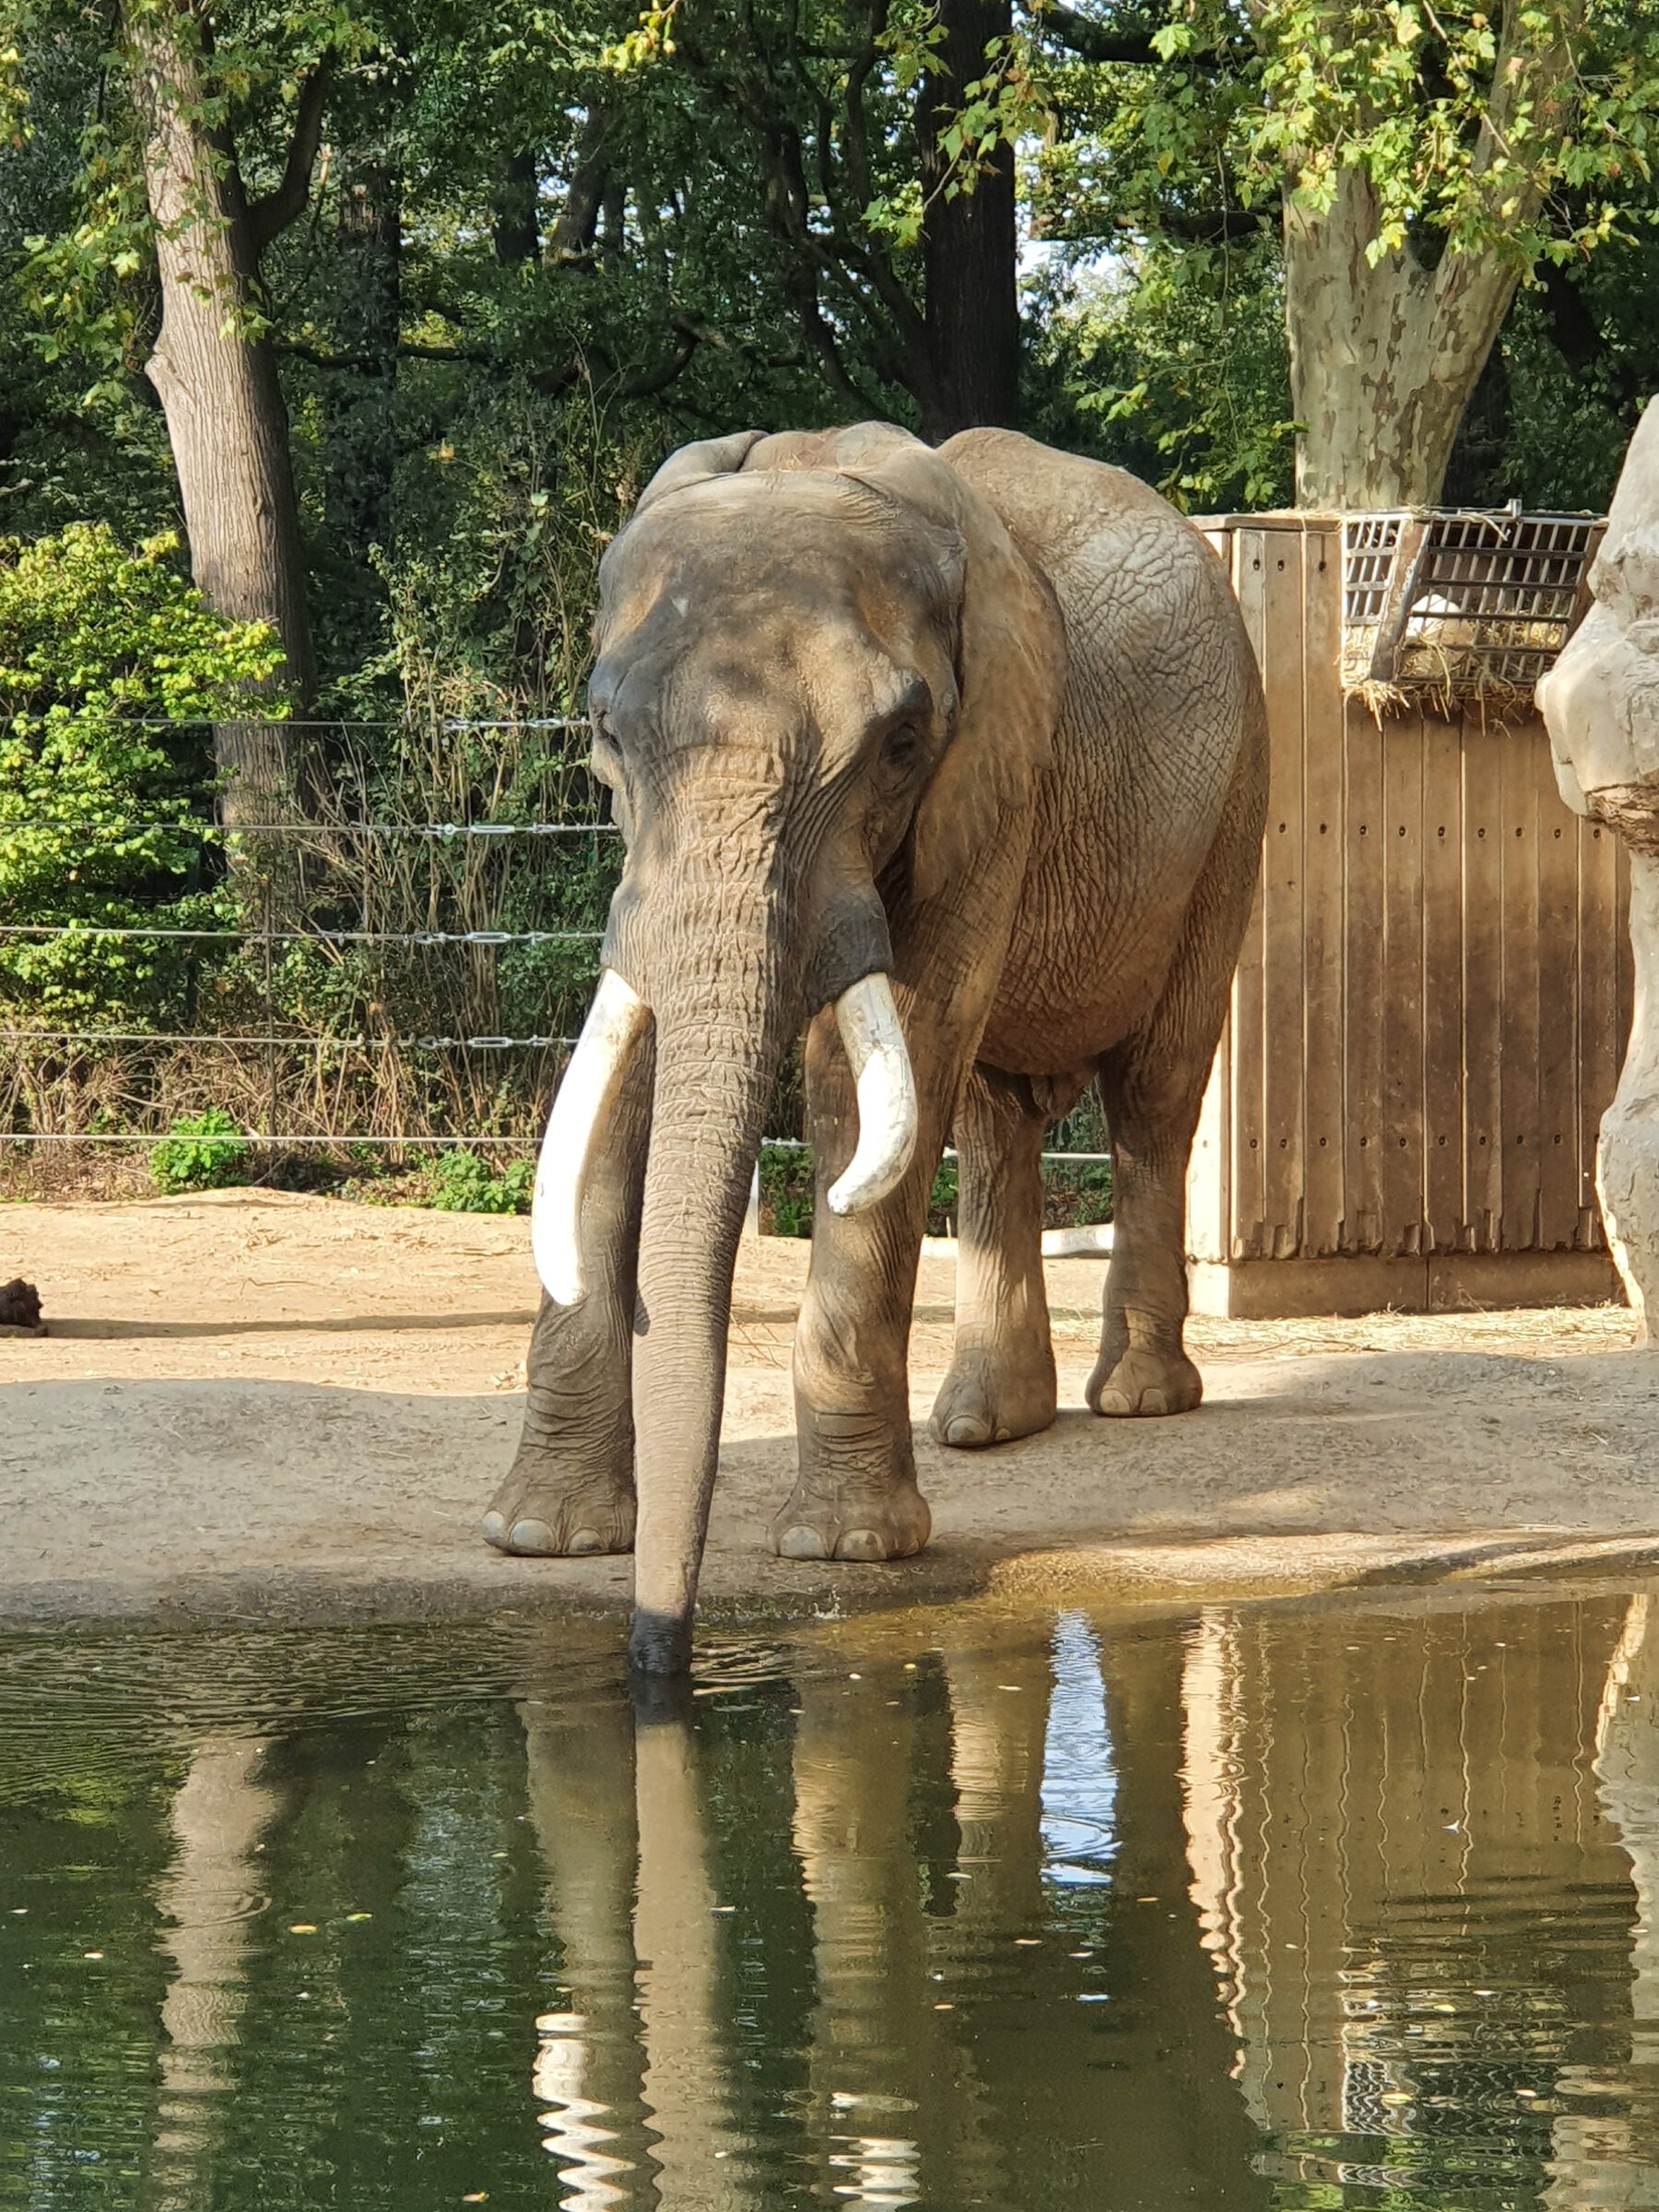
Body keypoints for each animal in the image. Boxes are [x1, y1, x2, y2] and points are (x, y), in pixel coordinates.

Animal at [479, 427, 1274, 1672]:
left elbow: (876, 1080)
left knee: (1152, 1095)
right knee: (998, 1114)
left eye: (901, 743)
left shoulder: (993, 769)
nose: (658, 1656)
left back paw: (1138, 1399)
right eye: (604, 734)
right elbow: (625, 1067)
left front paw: (848, 1551)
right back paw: (987, 1426)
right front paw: (541, 1537)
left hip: (1234, 804)